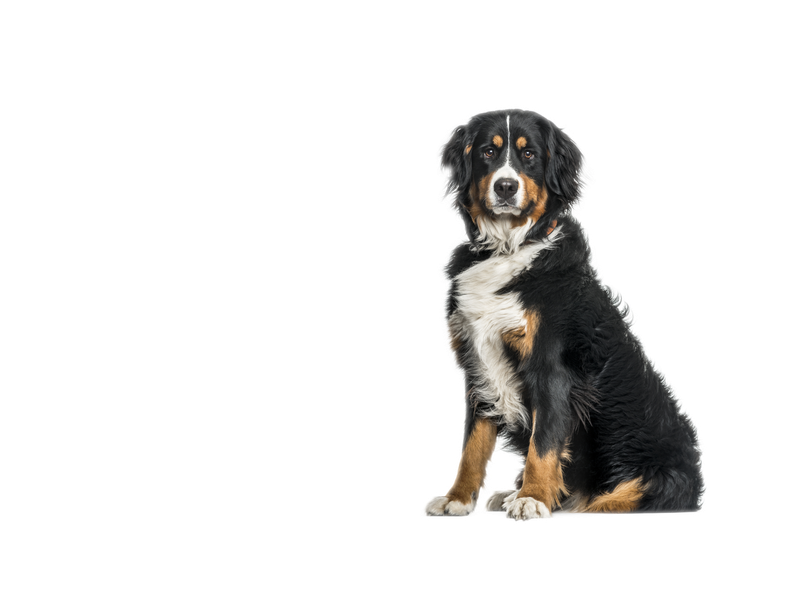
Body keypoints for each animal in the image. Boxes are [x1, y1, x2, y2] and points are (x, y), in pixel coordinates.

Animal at [424, 108, 708, 520]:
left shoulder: (551, 365)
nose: (505, 187)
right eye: (488, 152)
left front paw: (534, 497)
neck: (508, 249)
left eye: (529, 155)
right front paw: (457, 498)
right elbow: (472, 444)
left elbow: (544, 443)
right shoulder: (477, 362)